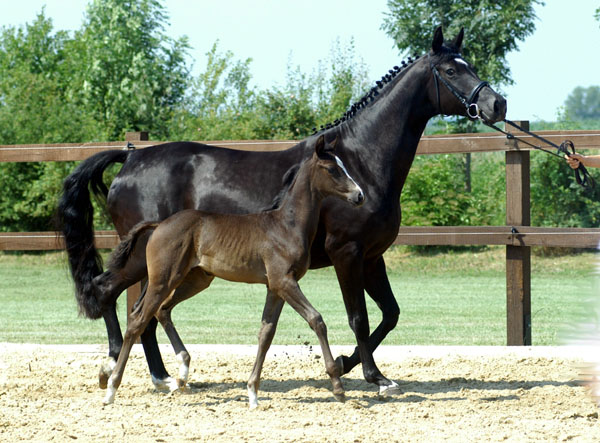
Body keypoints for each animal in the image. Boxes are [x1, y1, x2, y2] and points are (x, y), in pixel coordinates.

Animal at [102, 136, 364, 410]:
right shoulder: (285, 282)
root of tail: (159, 224)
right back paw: (111, 388)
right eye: (332, 169)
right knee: (138, 320)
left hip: (195, 279)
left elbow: (266, 333)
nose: (359, 195)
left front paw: (253, 393)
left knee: (162, 310)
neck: (287, 225)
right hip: (163, 279)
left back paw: (181, 373)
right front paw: (337, 386)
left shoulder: (275, 287)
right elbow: (316, 320)